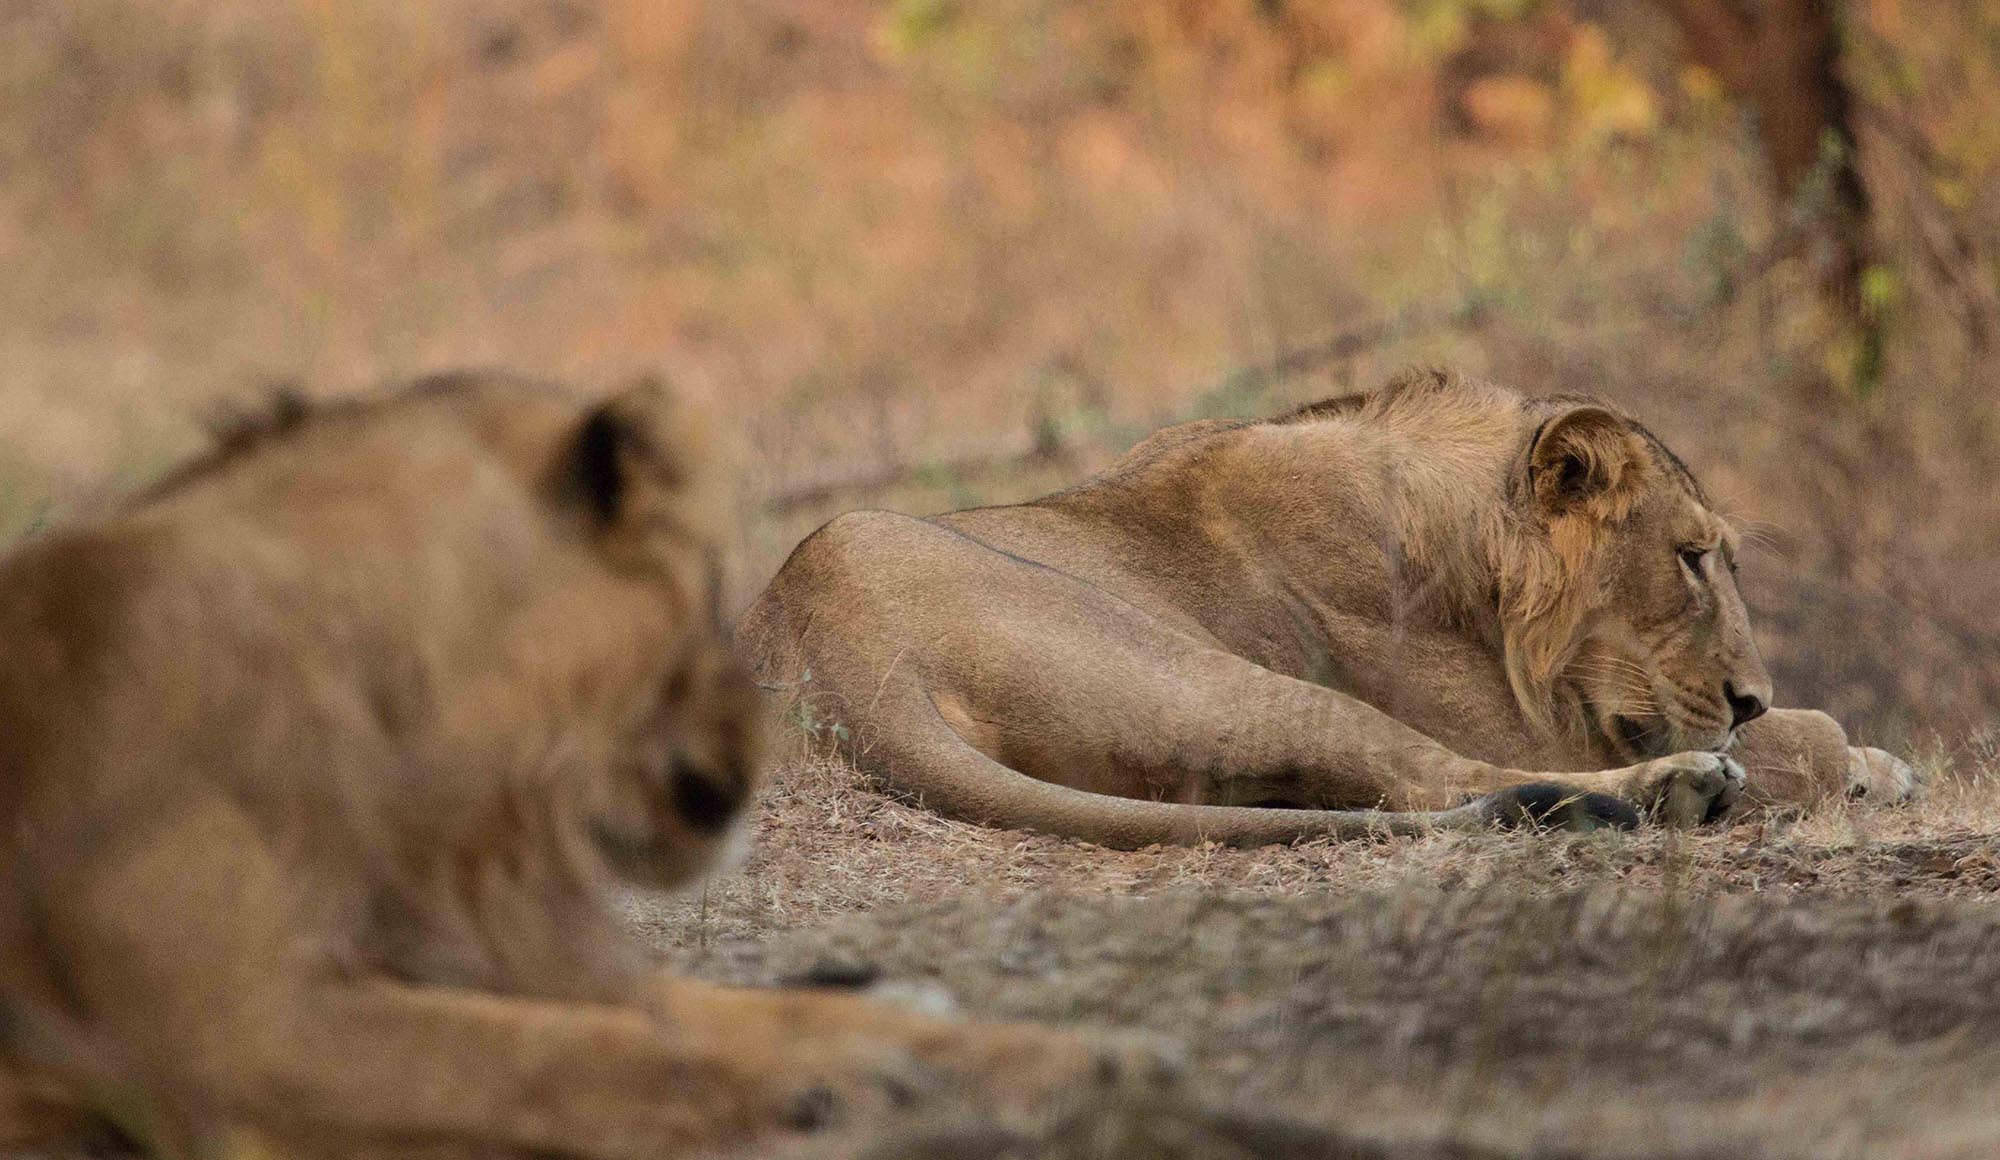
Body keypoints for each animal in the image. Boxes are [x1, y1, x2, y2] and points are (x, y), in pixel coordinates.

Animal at [0, 374, 1144, 1160]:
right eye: (705, 600)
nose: (760, 746)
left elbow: (759, 1013)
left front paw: (1053, 1056)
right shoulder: (237, 1034)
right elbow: (566, 1060)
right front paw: (846, 1090)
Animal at [744, 372, 1912, 852]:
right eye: (1689, 558)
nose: (1746, 693)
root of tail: (821, 653)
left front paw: (1870, 759)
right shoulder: (1525, 722)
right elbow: (1798, 737)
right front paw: (1839, 751)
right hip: (1217, 674)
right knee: (1441, 776)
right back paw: (1680, 789)